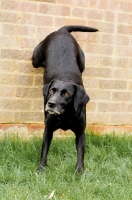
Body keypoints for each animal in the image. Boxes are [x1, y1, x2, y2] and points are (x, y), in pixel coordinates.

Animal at [32, 25, 98, 172]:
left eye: (66, 94)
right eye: (52, 90)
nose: (50, 104)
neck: (65, 115)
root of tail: (62, 31)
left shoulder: (80, 132)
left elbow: (80, 152)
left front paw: (79, 171)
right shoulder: (48, 130)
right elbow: (44, 151)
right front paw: (41, 169)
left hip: (82, 61)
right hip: (36, 59)